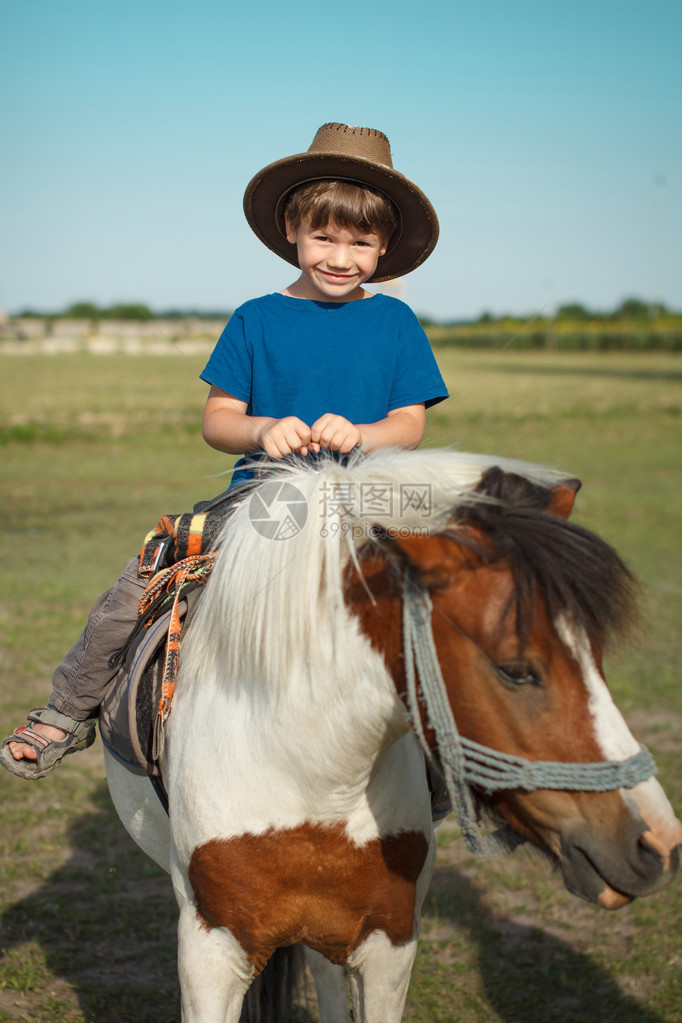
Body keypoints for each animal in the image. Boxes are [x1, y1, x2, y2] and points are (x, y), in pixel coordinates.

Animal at [104, 452, 678, 1023]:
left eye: (597, 653)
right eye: (515, 670)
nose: (657, 842)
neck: (310, 778)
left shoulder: (389, 944)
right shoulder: (210, 952)